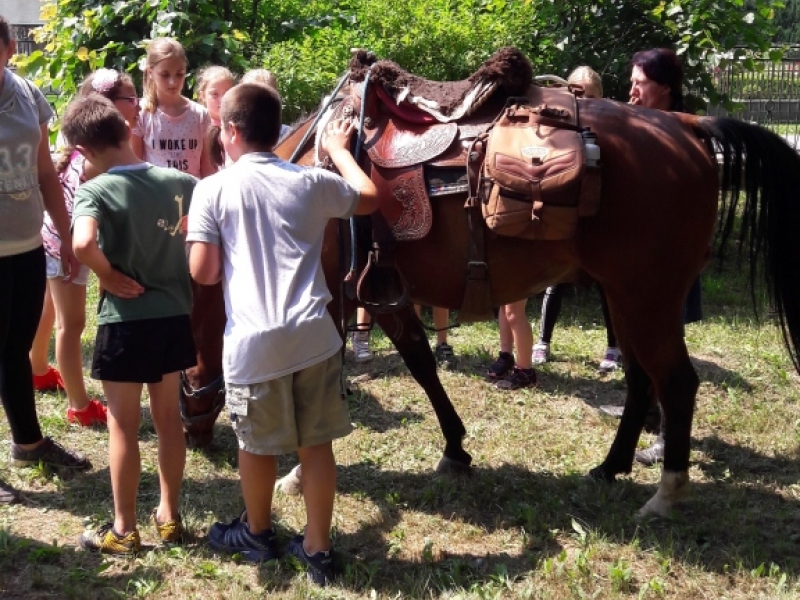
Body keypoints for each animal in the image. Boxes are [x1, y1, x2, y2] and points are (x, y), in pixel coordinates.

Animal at [181, 86, 800, 516]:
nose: (195, 437)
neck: (302, 164)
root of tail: (687, 126)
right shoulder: (383, 295)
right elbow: (422, 363)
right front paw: (455, 448)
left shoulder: (332, 297)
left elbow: (327, 378)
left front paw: (293, 476)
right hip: (626, 299)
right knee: (642, 382)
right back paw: (610, 466)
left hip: (645, 299)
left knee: (676, 383)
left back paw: (666, 494)